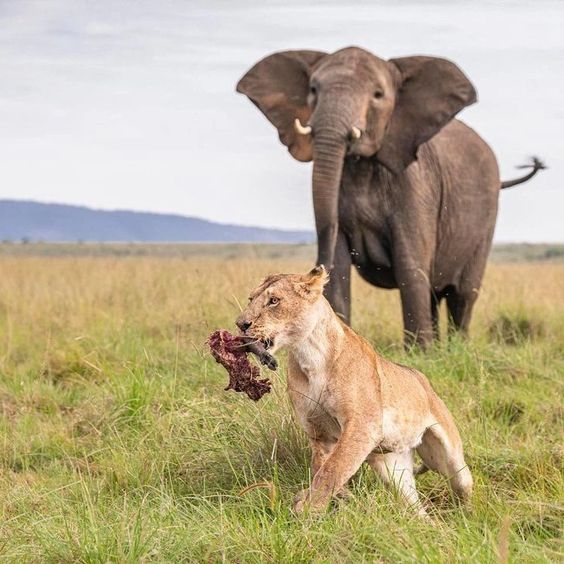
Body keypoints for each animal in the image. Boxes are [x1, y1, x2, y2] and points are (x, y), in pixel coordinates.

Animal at [236, 47, 544, 348]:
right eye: (313, 89)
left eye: (378, 95)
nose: (316, 268)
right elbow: (341, 267)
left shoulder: (416, 186)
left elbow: (410, 266)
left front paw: (420, 355)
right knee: (434, 293)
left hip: (486, 217)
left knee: (463, 295)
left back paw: (456, 349)